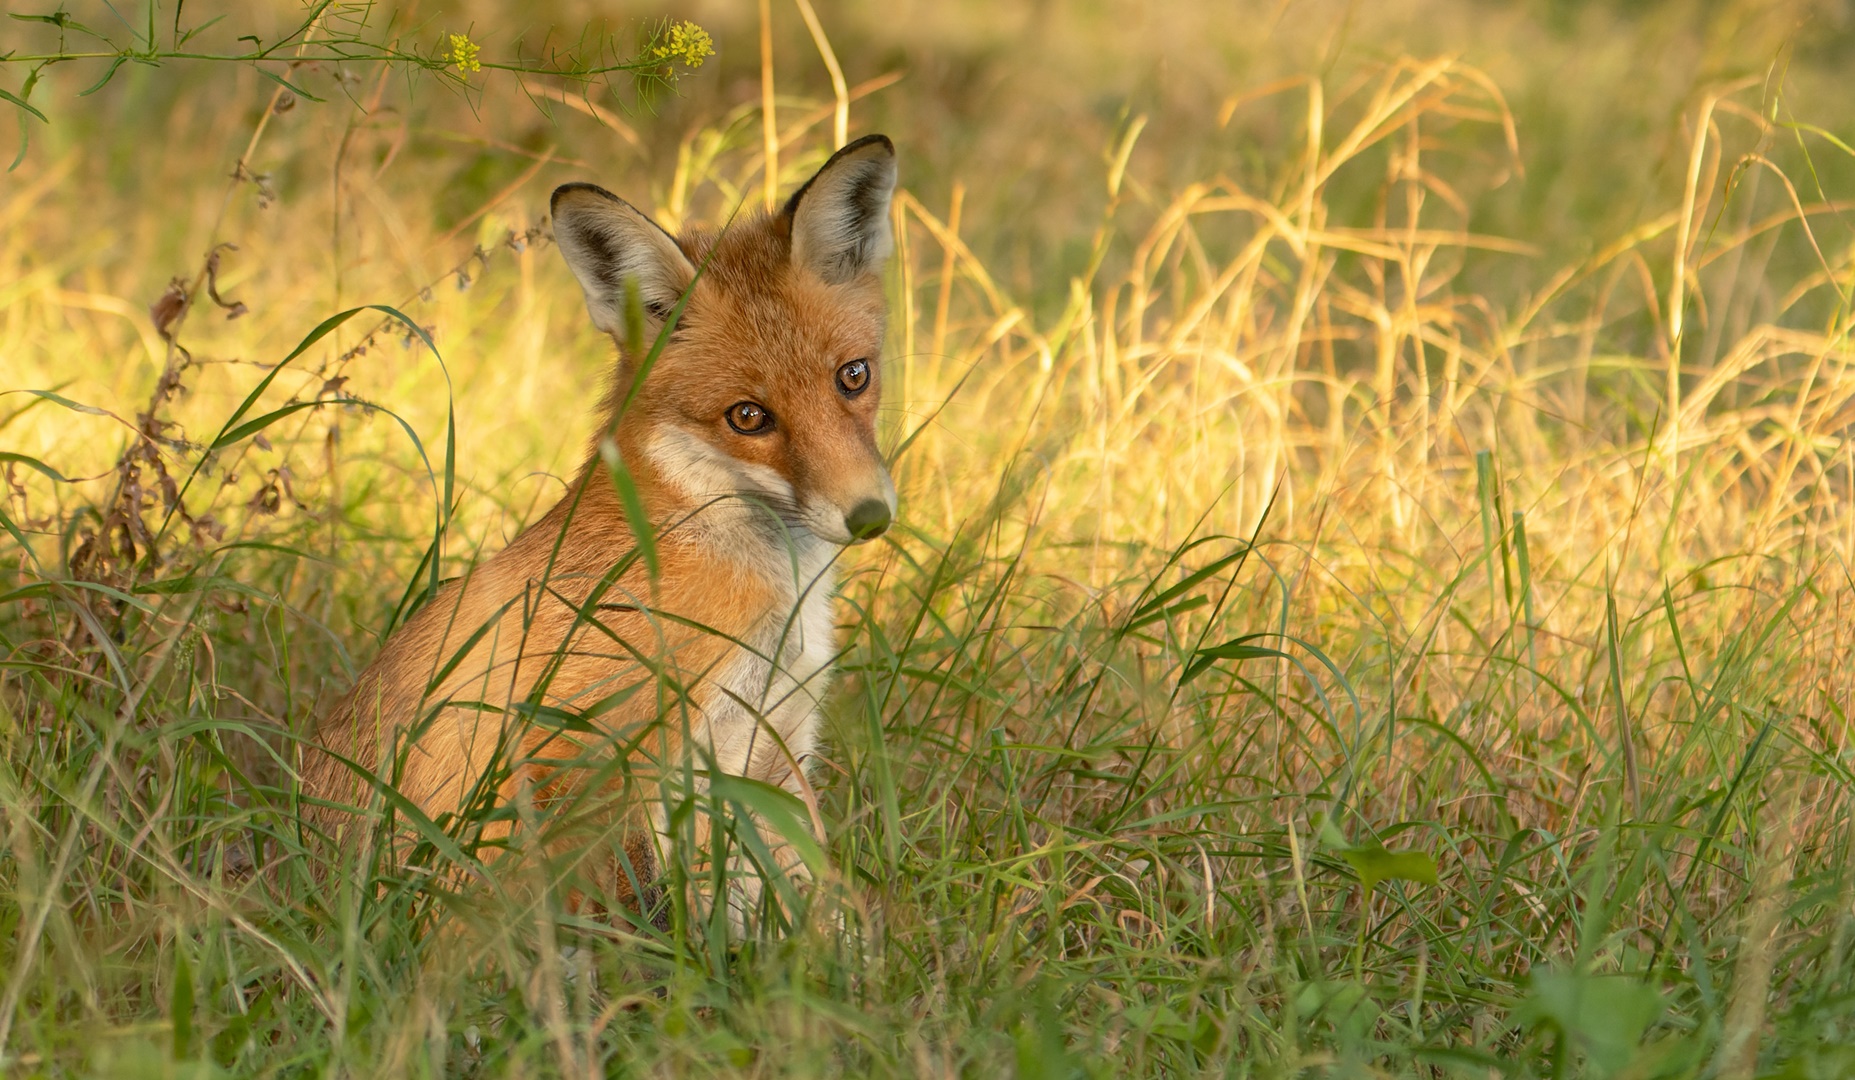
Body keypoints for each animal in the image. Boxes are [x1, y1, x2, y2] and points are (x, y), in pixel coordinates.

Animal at [302, 137, 897, 931]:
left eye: (853, 376)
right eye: (748, 417)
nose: (869, 515)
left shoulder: (775, 749)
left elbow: (815, 910)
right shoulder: (592, 748)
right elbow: (656, 920)